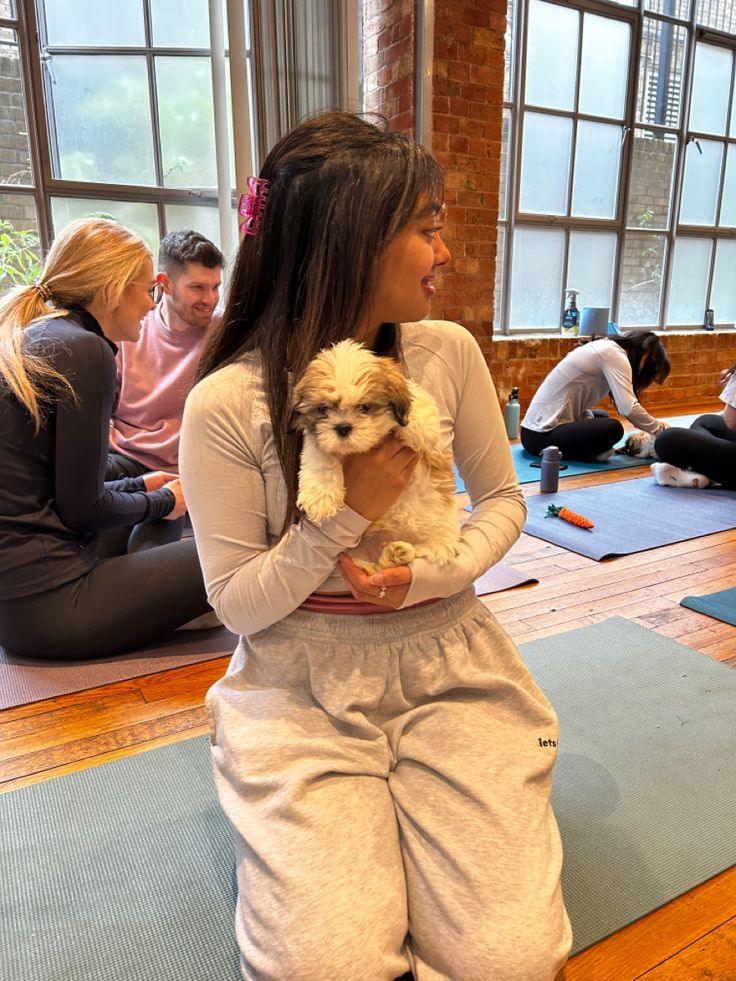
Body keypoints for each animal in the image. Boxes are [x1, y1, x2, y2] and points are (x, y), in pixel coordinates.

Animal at [288, 340, 458, 576]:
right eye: (323, 409)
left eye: (365, 407)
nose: (343, 427)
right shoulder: (317, 439)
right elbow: (320, 455)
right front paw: (321, 497)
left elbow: (419, 416)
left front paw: (410, 426)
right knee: (378, 564)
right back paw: (392, 555)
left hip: (438, 538)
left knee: (423, 550)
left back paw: (400, 551)